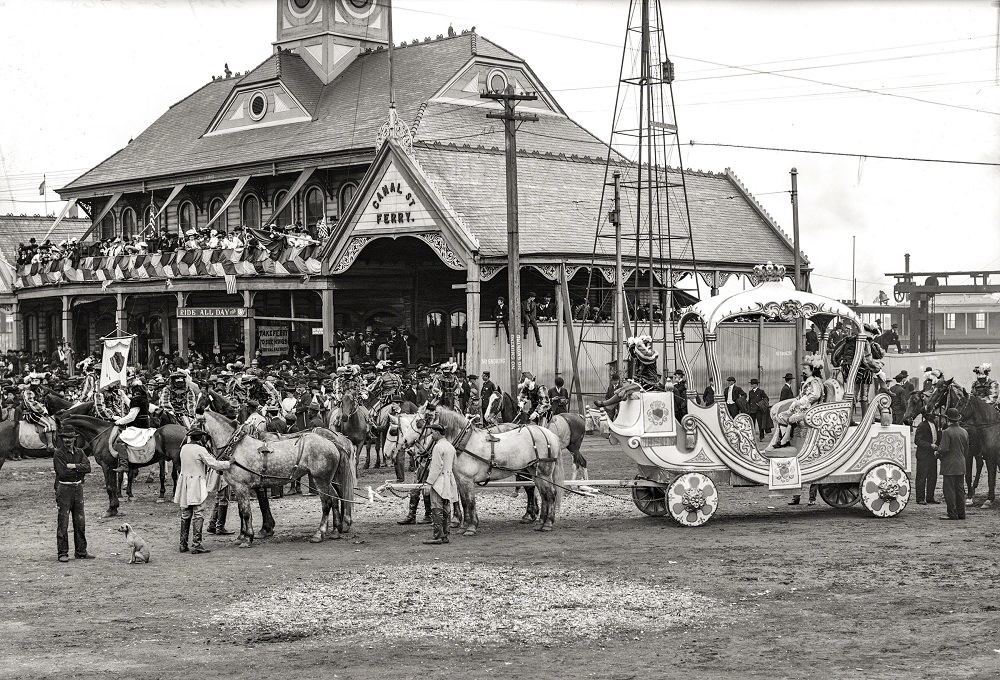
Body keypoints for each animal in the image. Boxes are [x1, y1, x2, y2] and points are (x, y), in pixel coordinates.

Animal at [924, 380, 996, 508]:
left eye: (941, 390)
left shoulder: (968, 453)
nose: (928, 407)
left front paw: (969, 498)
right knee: (980, 465)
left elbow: (967, 475)